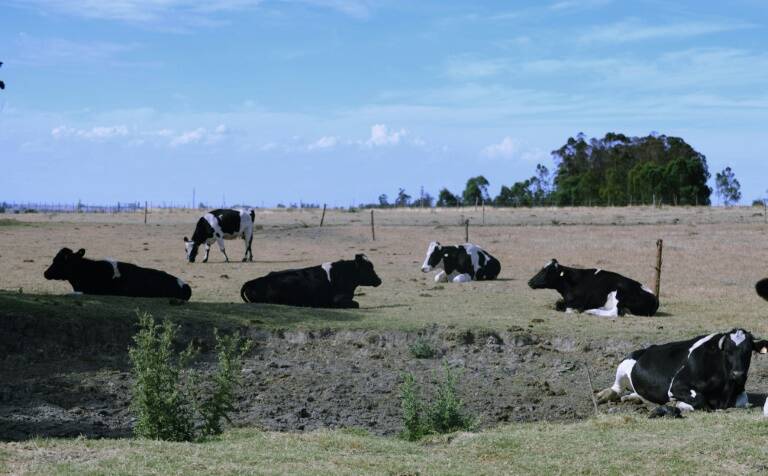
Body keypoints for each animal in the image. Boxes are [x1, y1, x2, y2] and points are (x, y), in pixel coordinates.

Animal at [528, 258, 660, 318]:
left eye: (547, 271)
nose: (530, 282)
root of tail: (655, 298)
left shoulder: (574, 304)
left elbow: (567, 309)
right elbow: (557, 304)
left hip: (620, 292)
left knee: (614, 312)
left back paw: (591, 311)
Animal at [592, 328, 768, 412]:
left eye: (748, 351)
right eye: (727, 351)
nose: (738, 374)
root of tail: (648, 348)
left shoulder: (739, 391)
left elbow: (743, 401)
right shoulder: (677, 385)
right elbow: (700, 400)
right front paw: (677, 403)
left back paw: (633, 398)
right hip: (624, 365)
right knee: (616, 387)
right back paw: (604, 395)